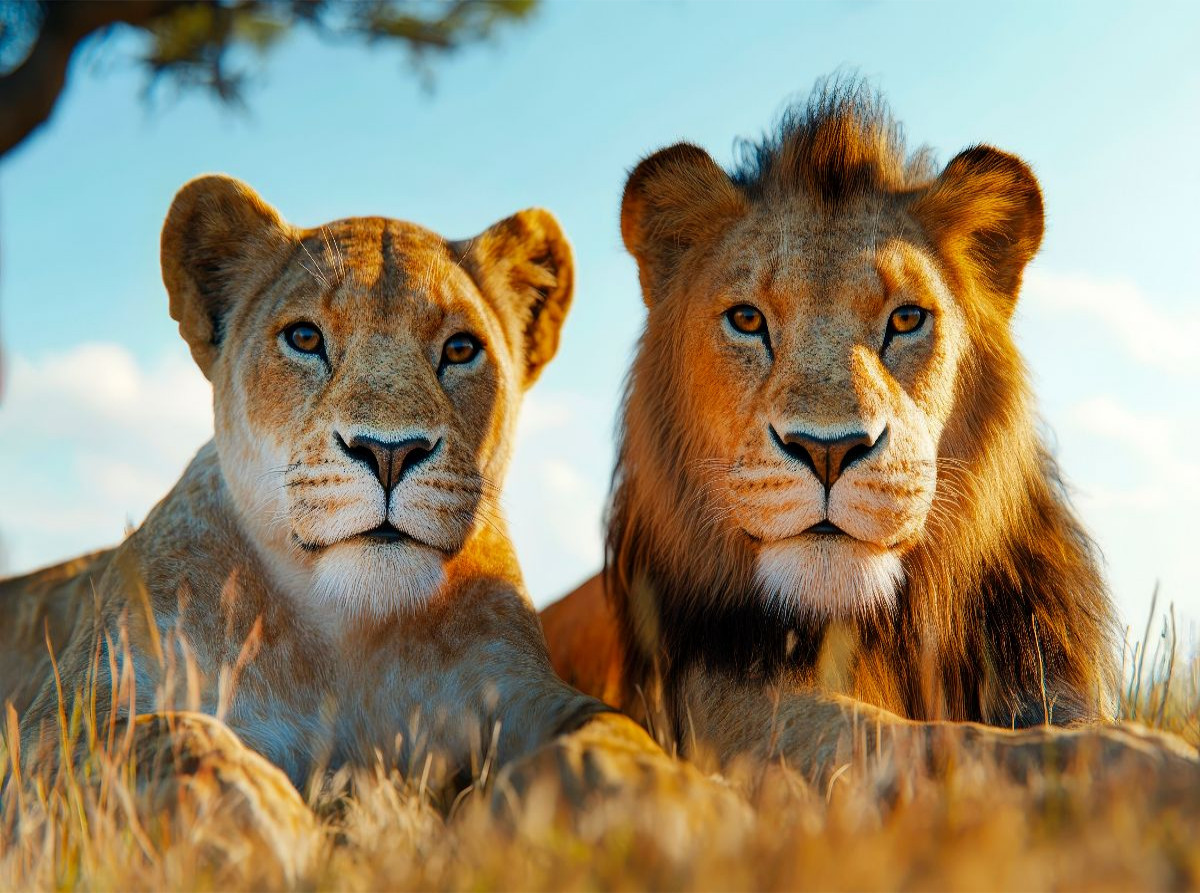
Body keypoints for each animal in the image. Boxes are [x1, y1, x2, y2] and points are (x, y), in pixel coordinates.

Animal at [0, 175, 711, 818]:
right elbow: (165, 734)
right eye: (304, 338)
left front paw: (661, 795)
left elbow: (608, 726)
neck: (349, 635)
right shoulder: (66, 717)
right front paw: (273, 825)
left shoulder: (518, 688)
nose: (389, 452)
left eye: (461, 348)